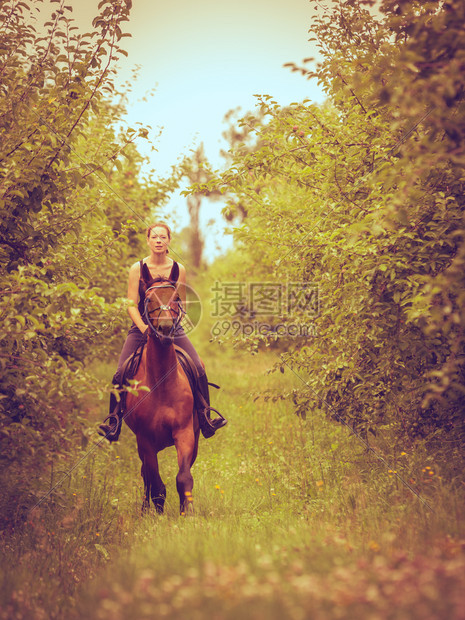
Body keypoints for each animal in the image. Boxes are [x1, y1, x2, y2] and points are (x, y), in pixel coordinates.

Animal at [123, 266, 198, 512]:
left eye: (176, 298)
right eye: (148, 300)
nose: (165, 328)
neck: (162, 384)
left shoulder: (185, 433)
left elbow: (183, 477)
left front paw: (188, 511)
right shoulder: (145, 440)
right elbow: (154, 482)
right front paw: (154, 509)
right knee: (146, 475)